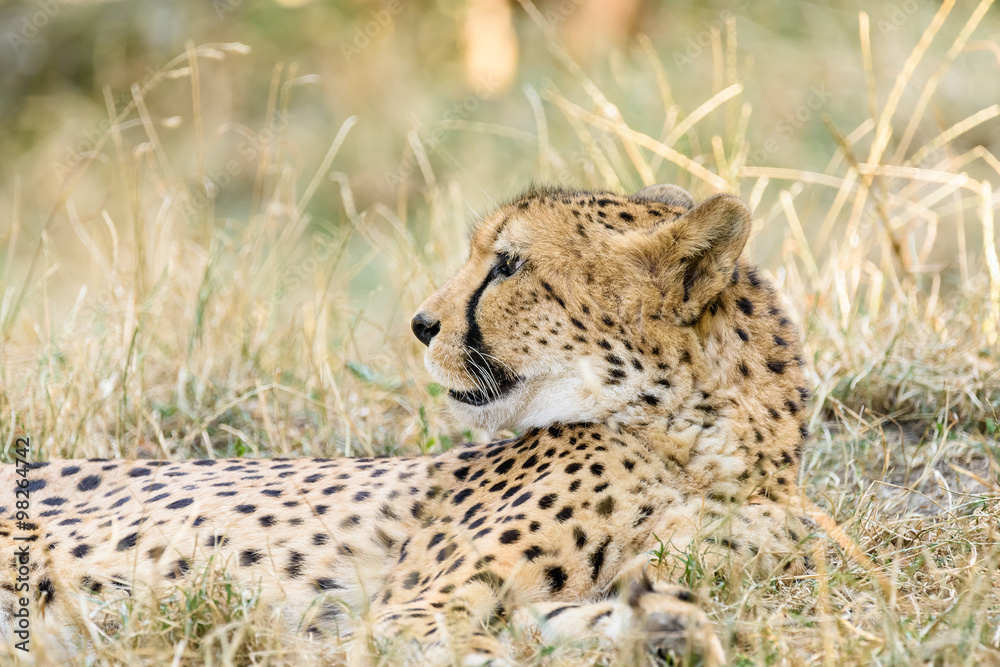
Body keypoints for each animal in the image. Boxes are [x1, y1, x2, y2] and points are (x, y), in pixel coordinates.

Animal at [1, 184, 819, 665]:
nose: (423, 324)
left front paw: (664, 628)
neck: (693, 442)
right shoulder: (408, 610)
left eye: (508, 265)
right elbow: (472, 644)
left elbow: (560, 620)